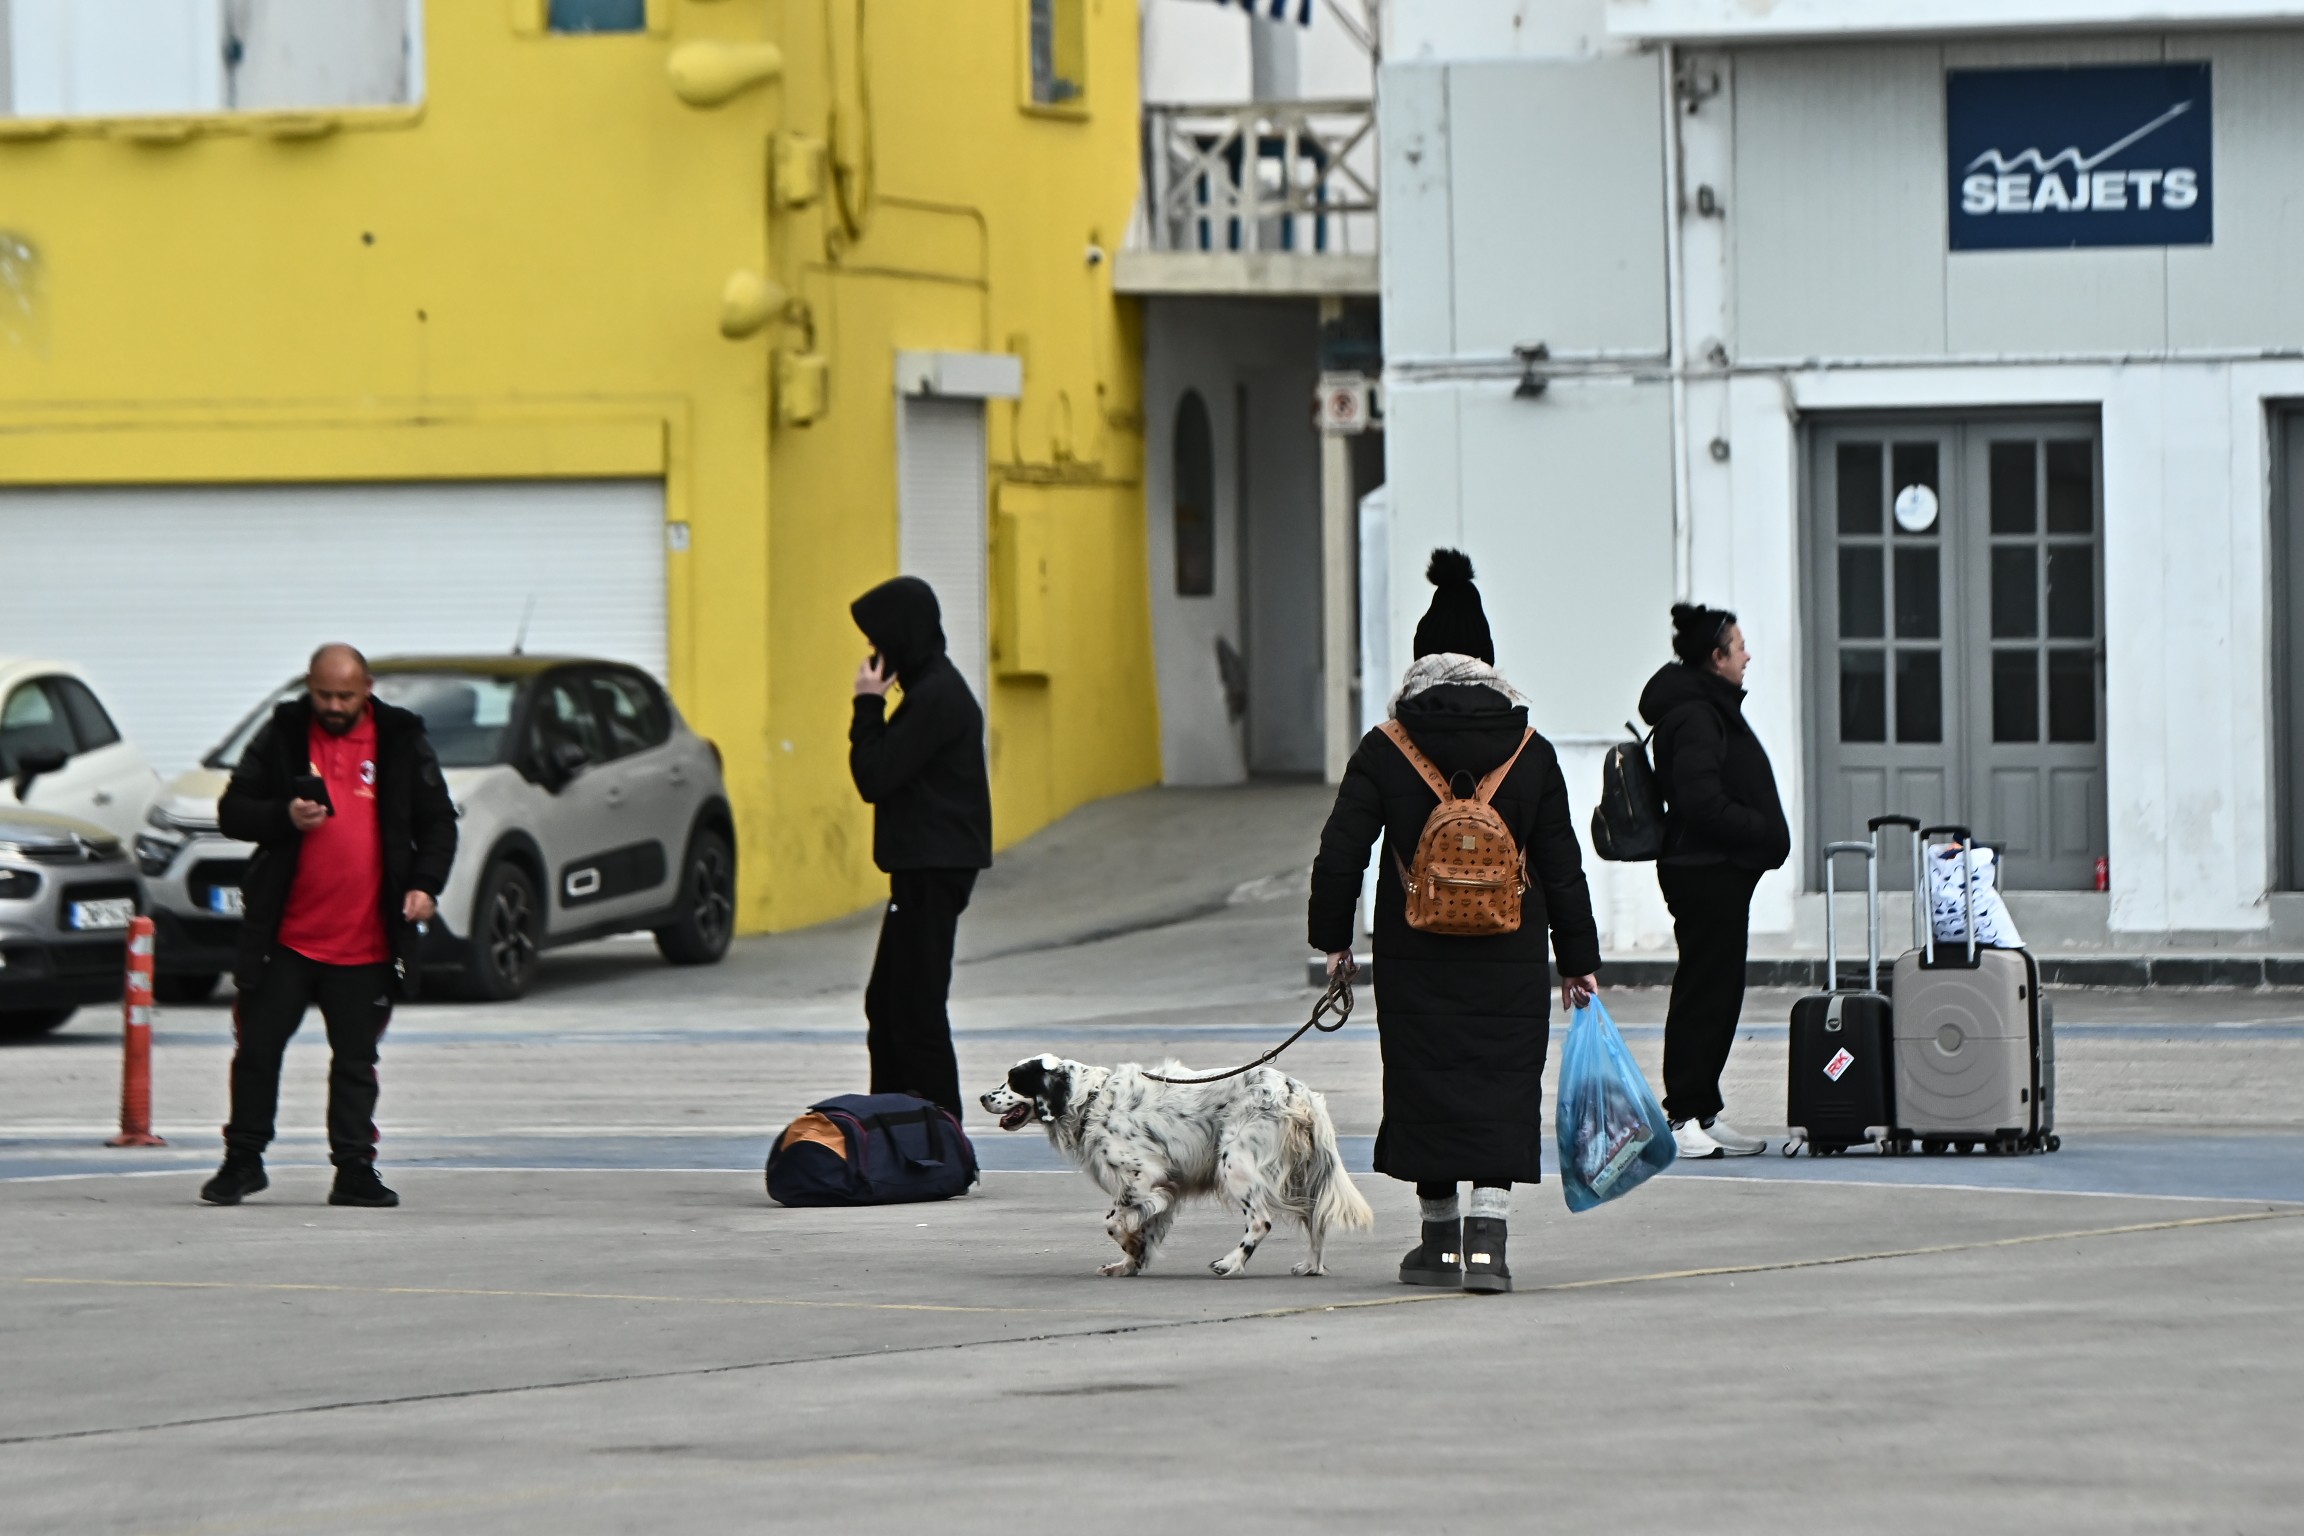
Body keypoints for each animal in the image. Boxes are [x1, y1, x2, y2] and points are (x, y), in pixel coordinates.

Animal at [981, 1050, 1373, 1280]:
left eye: (1014, 1080)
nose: (984, 1096)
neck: (1090, 1101)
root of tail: (1298, 1093)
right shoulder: (1163, 1188)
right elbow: (1146, 1227)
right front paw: (1129, 1263)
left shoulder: (1142, 1177)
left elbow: (1112, 1223)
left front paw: (1131, 1249)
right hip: (1304, 1175)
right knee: (1315, 1220)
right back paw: (1311, 1266)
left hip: (1235, 1163)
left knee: (1261, 1221)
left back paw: (1230, 1263)